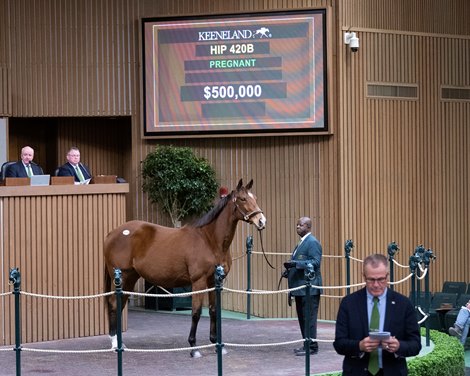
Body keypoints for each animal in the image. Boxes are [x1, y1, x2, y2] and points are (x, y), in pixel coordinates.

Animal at [104, 178, 266, 356]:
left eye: (255, 198)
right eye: (243, 199)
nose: (261, 221)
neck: (209, 240)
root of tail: (112, 233)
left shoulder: (214, 281)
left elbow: (213, 311)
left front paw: (216, 344)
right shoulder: (198, 282)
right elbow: (196, 313)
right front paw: (193, 347)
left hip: (130, 278)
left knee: (120, 304)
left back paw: (119, 343)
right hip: (122, 278)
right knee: (114, 305)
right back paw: (115, 344)